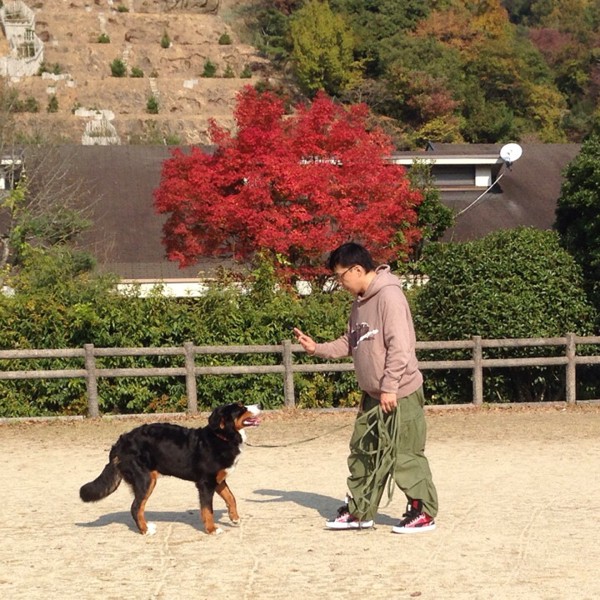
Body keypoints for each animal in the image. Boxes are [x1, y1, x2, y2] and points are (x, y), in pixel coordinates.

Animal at [78, 404, 258, 536]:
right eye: (241, 409)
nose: (259, 405)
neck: (222, 437)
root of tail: (120, 443)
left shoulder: (219, 480)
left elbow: (231, 497)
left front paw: (234, 518)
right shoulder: (206, 483)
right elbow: (208, 510)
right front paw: (212, 529)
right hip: (146, 480)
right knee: (136, 507)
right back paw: (145, 530)